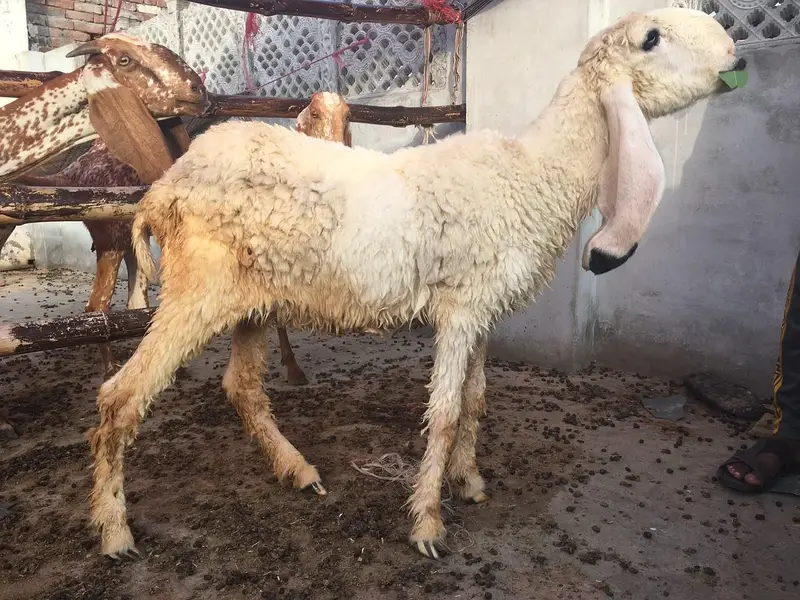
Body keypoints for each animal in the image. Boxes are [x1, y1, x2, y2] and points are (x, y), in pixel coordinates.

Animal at [87, 8, 747, 560]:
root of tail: (164, 188)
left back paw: (298, 471)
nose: (734, 55)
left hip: (253, 301)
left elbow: (476, 401)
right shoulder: (461, 310)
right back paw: (114, 530)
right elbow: (447, 411)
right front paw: (428, 521)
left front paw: (470, 482)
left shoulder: (483, 308)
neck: (533, 173)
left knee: (242, 388)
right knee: (121, 395)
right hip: (196, 290)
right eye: (652, 38)